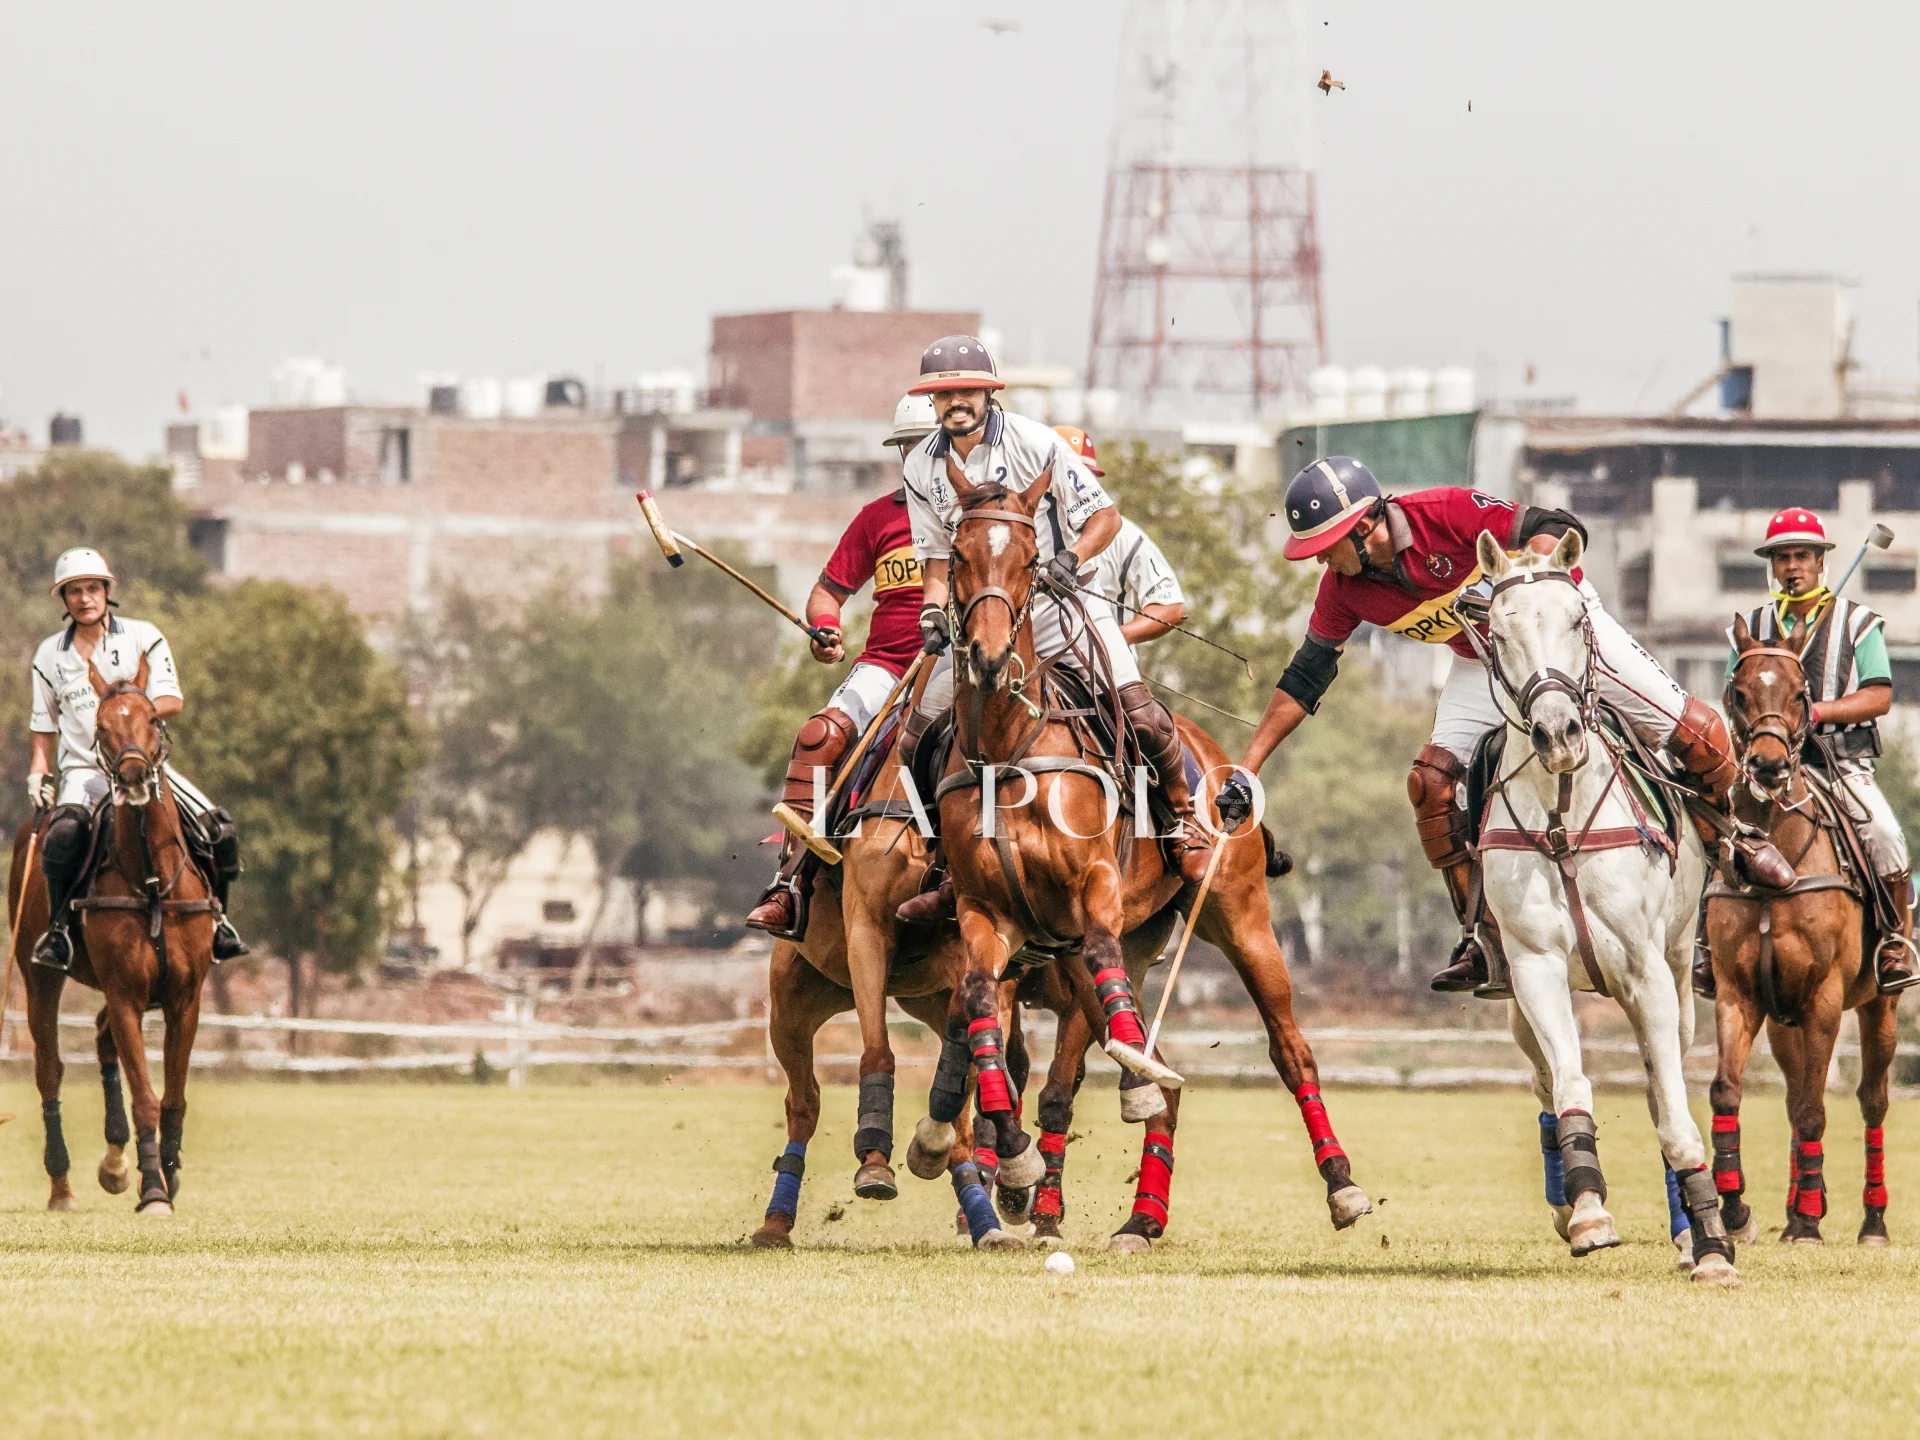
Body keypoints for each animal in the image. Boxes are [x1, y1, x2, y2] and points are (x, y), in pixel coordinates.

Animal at [4, 656, 216, 1221]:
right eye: (101, 727)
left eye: (153, 718)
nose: (134, 775)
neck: (151, 880)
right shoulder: (124, 993)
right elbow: (145, 1097)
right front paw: (155, 1191)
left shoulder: (185, 997)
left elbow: (173, 1098)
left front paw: (165, 1174)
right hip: (39, 976)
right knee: (50, 1069)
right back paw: (62, 1185)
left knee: (100, 1039)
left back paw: (116, 1163)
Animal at [906, 464, 1374, 1251]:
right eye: (959, 555)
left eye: (1030, 562)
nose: (992, 659)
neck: (1008, 748)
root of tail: (1219, 761)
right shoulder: (986, 913)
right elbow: (976, 1004)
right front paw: (1006, 1157)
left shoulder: (1093, 887)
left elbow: (1087, 974)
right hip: (1137, 941)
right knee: (1162, 1081)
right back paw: (1140, 1213)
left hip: (1240, 916)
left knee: (1289, 1047)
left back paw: (1342, 1185)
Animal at [1466, 537, 1743, 1290]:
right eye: (1498, 633)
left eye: (1576, 619)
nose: (1558, 732)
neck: (1562, 817)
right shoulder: (1534, 967)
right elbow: (1570, 1084)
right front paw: (1588, 1208)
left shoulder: (1647, 974)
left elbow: (1673, 1115)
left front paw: (1711, 1247)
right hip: (1513, 999)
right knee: (1544, 1079)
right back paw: (1570, 1204)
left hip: (1677, 976)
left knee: (1660, 1083)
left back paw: (1691, 1231)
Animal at [1704, 614, 1896, 1244]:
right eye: (1739, 693)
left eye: (1799, 694)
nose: (1768, 767)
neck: (1775, 862)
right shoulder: (1737, 993)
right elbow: (1728, 1092)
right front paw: (1734, 1209)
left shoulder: (1825, 997)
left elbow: (1817, 1107)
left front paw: (1812, 1220)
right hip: (1782, 1019)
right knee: (1792, 1095)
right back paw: (1792, 1208)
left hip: (1879, 1007)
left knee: (1872, 1099)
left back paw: (1871, 1220)